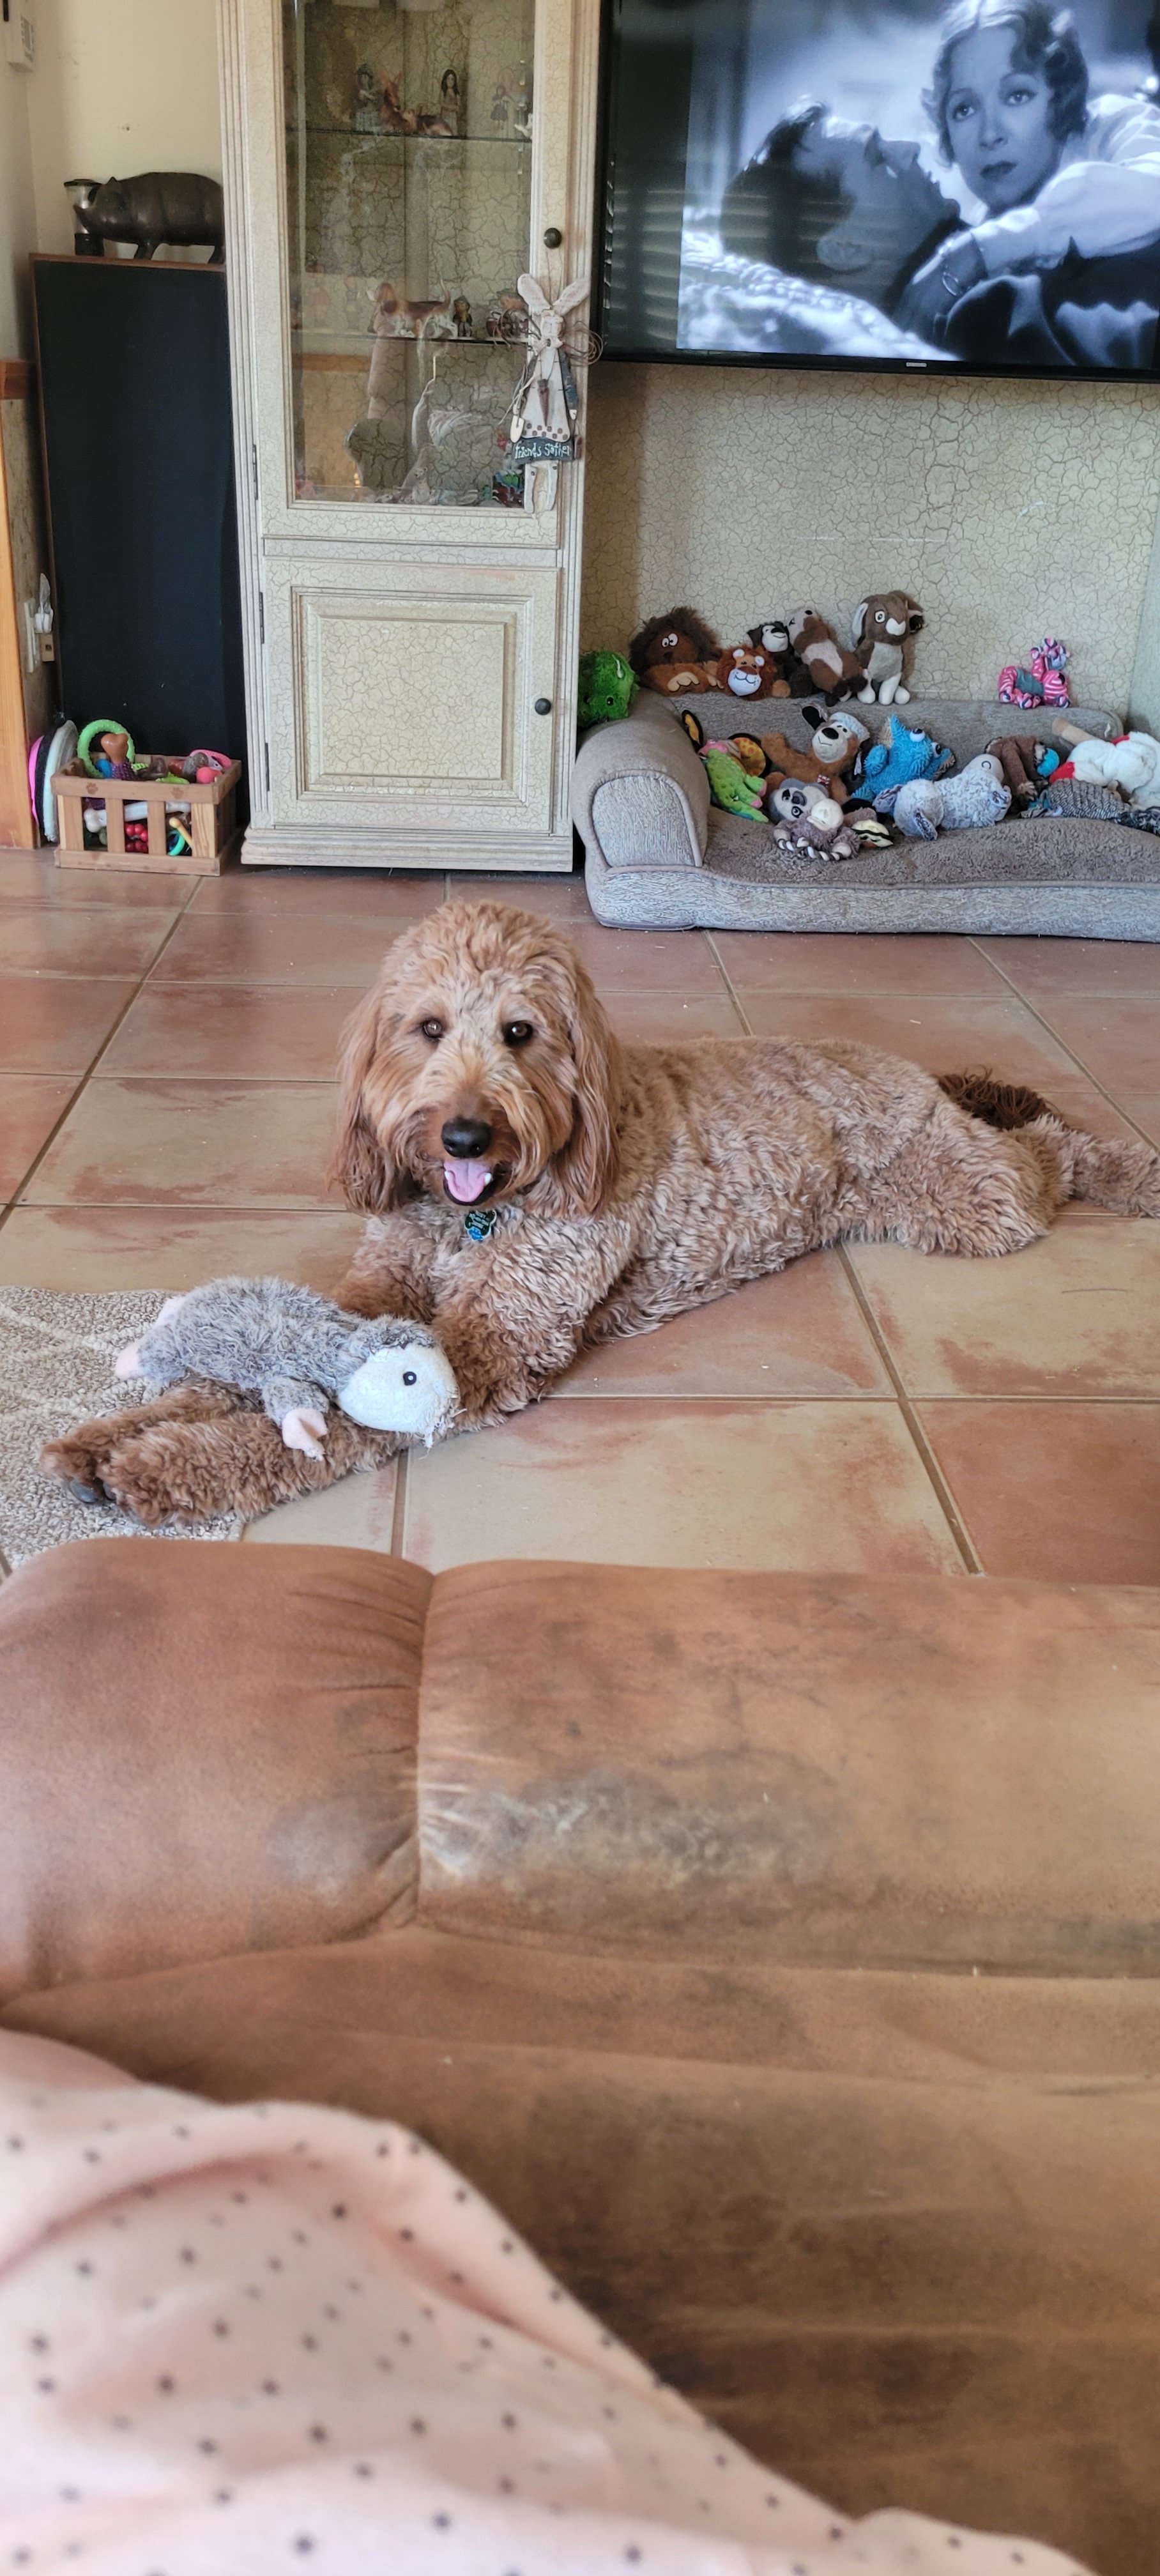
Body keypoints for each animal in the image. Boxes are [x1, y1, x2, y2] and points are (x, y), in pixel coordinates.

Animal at [50, 896, 1159, 1514]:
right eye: (428, 1026)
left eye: (522, 1032)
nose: (464, 1136)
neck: (483, 1209)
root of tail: (909, 1069)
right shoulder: (376, 1293)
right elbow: (239, 1375)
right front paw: (115, 1434)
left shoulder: (480, 1347)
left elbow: (332, 1424)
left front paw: (163, 1469)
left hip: (968, 1198)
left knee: (1050, 1154)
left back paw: (1127, 1169)